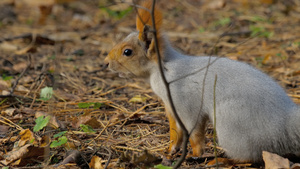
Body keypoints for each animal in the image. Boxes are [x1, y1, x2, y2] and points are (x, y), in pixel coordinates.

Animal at [105, 0, 300, 164]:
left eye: (127, 52)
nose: (106, 63)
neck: (164, 69)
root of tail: (283, 124)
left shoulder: (185, 103)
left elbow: (194, 132)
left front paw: (195, 154)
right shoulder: (170, 107)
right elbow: (175, 132)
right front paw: (169, 151)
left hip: (232, 120)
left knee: (250, 156)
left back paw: (223, 160)